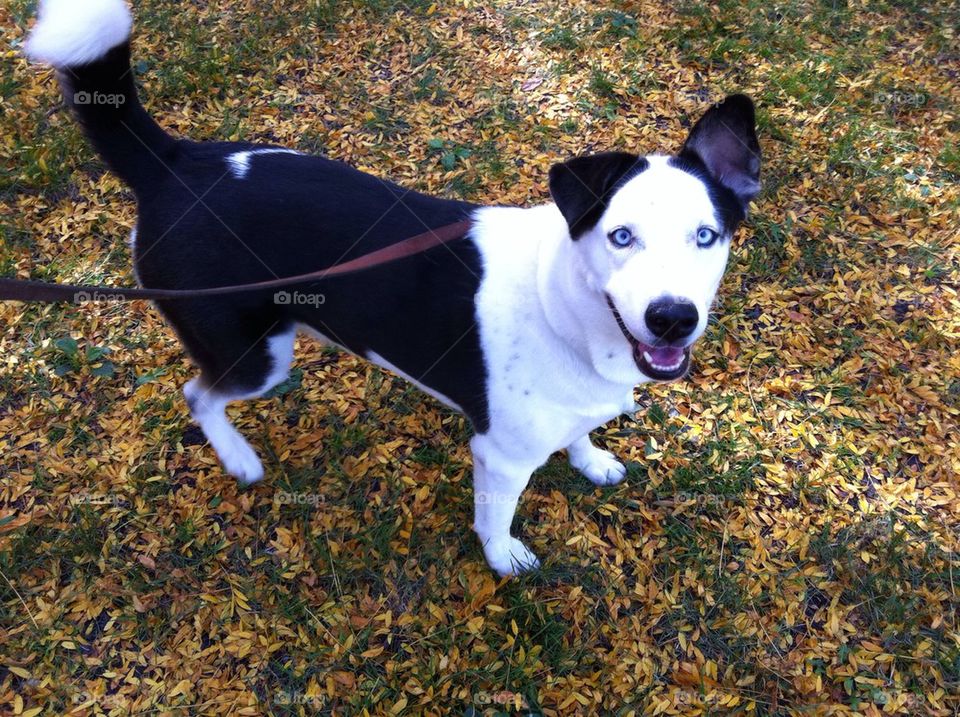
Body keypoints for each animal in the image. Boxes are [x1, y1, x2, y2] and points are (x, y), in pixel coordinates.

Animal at [26, 0, 760, 572]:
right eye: (620, 236)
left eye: (706, 235)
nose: (672, 318)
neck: (568, 312)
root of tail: (174, 162)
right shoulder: (499, 455)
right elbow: (495, 519)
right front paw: (504, 559)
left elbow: (577, 436)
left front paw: (591, 458)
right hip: (252, 352)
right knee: (198, 393)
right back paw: (239, 459)